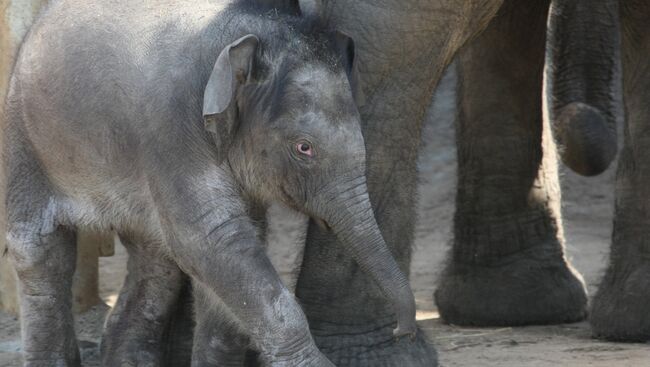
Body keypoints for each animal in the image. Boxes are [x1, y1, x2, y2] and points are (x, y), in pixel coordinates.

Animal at [3, 0, 416, 367]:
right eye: (304, 148)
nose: (402, 331)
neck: (244, 36)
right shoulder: (171, 127)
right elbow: (210, 240)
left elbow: (225, 253)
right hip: (26, 142)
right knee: (40, 251)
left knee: (157, 262)